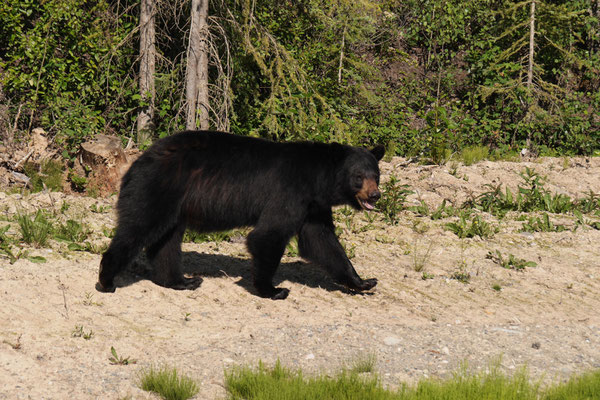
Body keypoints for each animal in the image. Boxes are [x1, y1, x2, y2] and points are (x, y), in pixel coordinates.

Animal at [96, 130, 382, 298]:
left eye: (375, 175)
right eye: (358, 176)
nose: (375, 195)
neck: (317, 179)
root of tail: (139, 160)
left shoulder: (313, 207)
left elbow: (322, 242)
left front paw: (363, 281)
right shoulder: (288, 193)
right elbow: (267, 236)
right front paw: (273, 289)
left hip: (175, 205)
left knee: (166, 241)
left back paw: (182, 281)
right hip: (158, 188)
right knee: (138, 227)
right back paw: (107, 279)